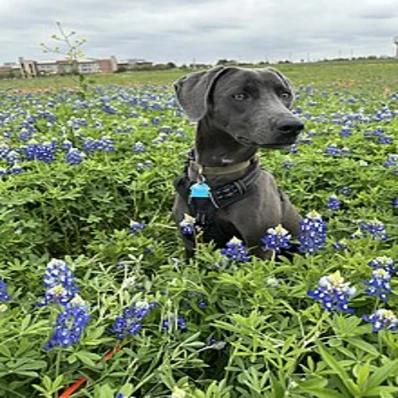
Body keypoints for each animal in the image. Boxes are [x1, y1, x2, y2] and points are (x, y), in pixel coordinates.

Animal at [173, 65, 304, 258]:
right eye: (240, 96)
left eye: (285, 95)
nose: (293, 126)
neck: (221, 169)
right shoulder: (190, 242)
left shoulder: (260, 246)